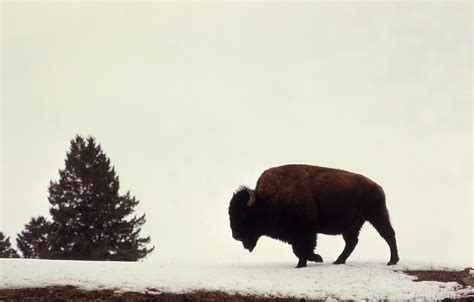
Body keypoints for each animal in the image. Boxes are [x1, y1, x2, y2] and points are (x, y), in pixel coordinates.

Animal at [228, 165, 398, 266]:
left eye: (243, 214)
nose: (236, 235)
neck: (268, 199)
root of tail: (377, 186)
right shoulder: (297, 234)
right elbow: (298, 250)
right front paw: (308, 261)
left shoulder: (305, 232)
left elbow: (302, 249)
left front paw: (313, 259)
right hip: (352, 226)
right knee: (352, 242)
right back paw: (338, 261)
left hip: (376, 215)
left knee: (388, 234)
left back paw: (392, 261)